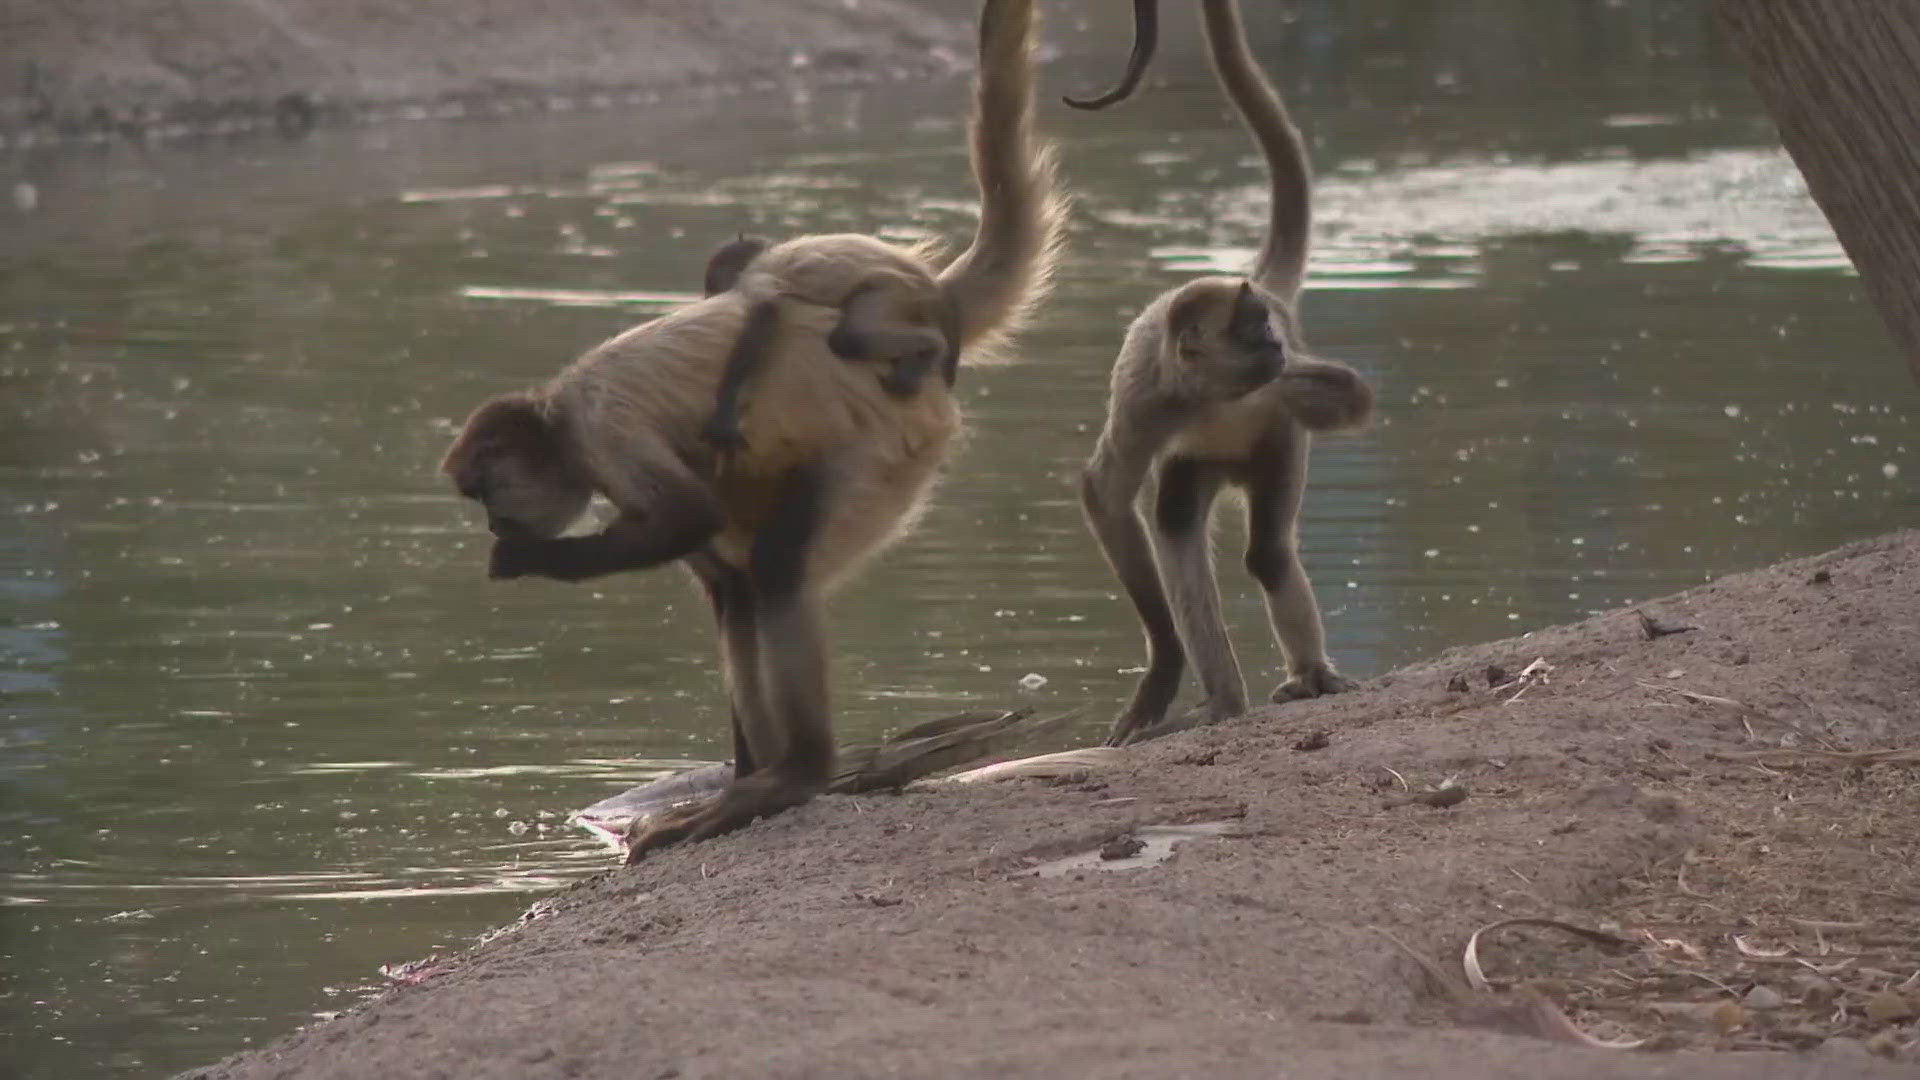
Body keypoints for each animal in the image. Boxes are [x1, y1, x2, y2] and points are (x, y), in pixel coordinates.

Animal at [698, 231, 960, 449]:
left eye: (713, 286)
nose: (709, 297)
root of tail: (924, 277)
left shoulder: (754, 276)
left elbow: (767, 311)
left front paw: (724, 416)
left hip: (892, 292)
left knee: (849, 339)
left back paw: (932, 346)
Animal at [1082, 0, 1382, 749]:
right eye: (1247, 329)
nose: (1272, 339)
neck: (1212, 394)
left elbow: (1353, 399)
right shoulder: (1148, 400)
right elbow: (1107, 492)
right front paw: (1164, 671)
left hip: (1274, 449)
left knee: (1267, 553)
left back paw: (1308, 676)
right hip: (1201, 462)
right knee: (1176, 519)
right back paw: (1222, 700)